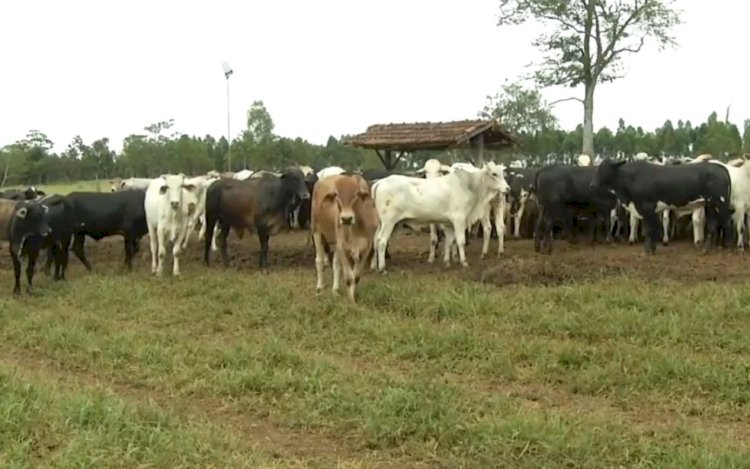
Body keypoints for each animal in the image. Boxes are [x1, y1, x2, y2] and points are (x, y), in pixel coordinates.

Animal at [374, 164, 516, 270]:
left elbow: (449, 241)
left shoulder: (449, 224)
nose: (508, 188)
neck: (469, 185)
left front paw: (447, 261)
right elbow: (460, 241)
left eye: (503, 174)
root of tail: (380, 182)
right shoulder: (459, 219)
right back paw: (382, 267)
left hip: (382, 223)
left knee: (375, 239)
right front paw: (463, 262)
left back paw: (374, 266)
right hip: (389, 222)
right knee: (382, 240)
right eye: (494, 174)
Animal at [592, 159, 732, 254]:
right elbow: (650, 229)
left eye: (604, 170)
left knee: (728, 223)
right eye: (597, 169)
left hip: (721, 203)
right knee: (712, 225)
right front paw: (651, 249)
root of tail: (721, 168)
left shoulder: (647, 206)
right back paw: (707, 249)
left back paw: (731, 249)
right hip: (711, 204)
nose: (592, 185)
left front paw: (648, 251)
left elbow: (650, 230)